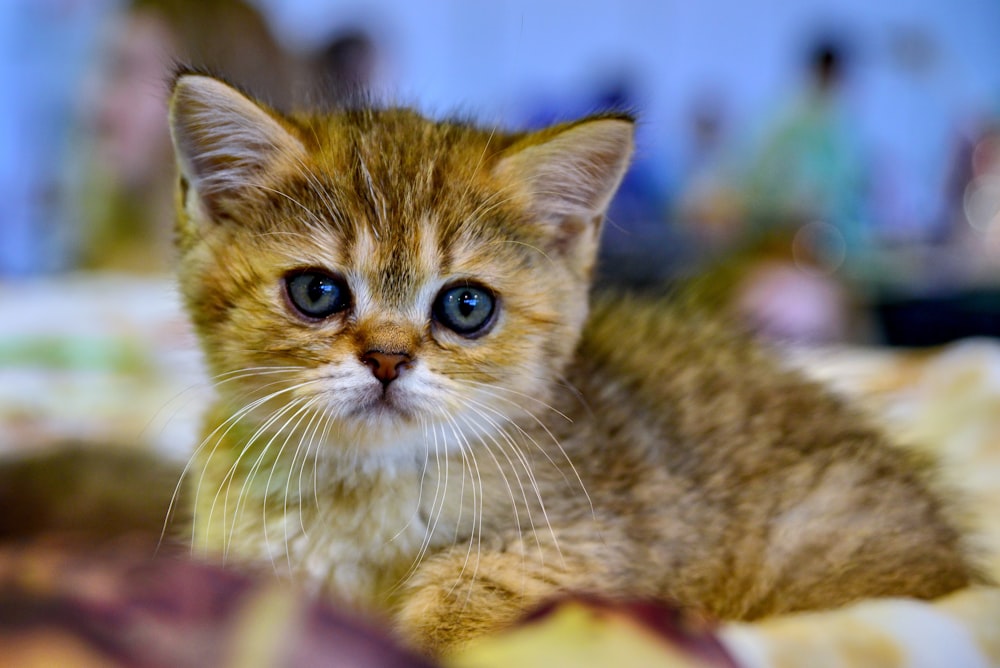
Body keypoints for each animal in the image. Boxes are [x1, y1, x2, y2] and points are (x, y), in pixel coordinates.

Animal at [170, 72, 976, 652]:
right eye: (317, 292)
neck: (369, 490)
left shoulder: (590, 543)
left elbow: (475, 589)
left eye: (466, 306)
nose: (388, 359)